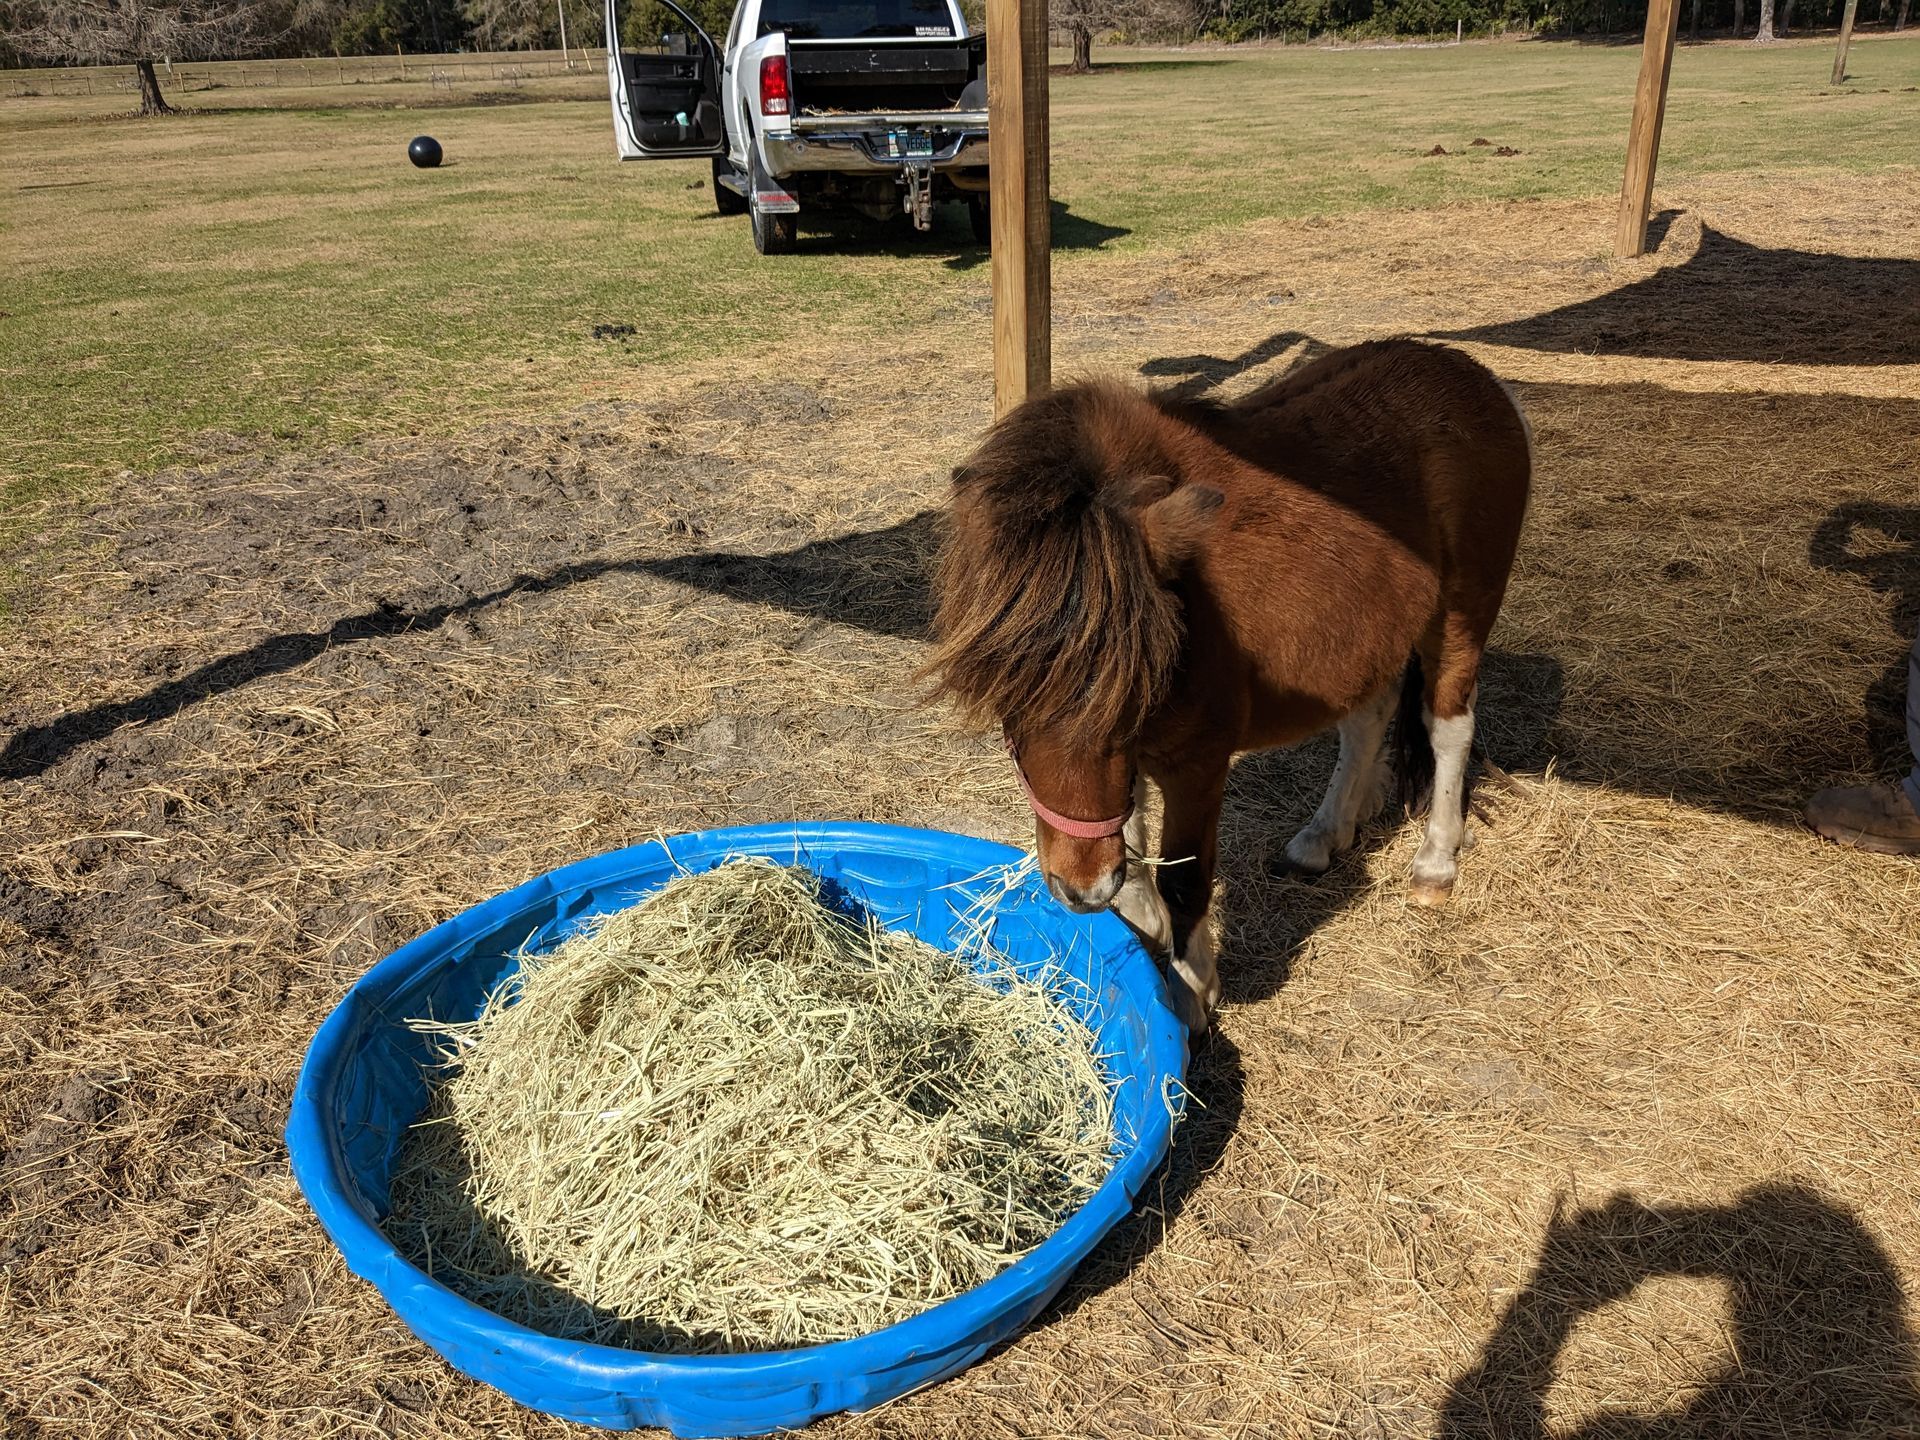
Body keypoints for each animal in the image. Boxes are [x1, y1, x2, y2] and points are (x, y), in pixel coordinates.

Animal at [926, 339, 1532, 1029]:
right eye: (1010, 701)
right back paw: (1322, 837)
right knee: (1365, 721)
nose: (1082, 890)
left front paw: (1191, 997)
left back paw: (1434, 863)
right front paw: (1141, 934)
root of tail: (1476, 378)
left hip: (1460, 615)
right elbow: (1133, 844)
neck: (1188, 606)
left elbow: (1184, 877)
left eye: (1127, 699)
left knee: (1448, 726)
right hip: (1372, 633)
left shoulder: (1197, 763)